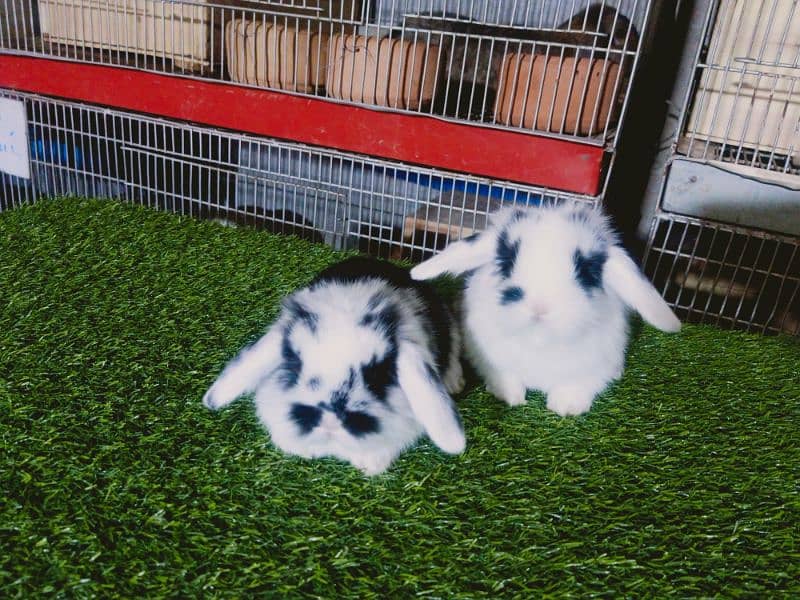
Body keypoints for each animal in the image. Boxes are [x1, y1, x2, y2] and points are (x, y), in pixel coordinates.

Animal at [412, 204, 680, 414]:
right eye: (507, 262)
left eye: (585, 270)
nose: (540, 307)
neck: (540, 343)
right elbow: (506, 377)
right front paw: (507, 396)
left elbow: (578, 385)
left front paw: (567, 408)